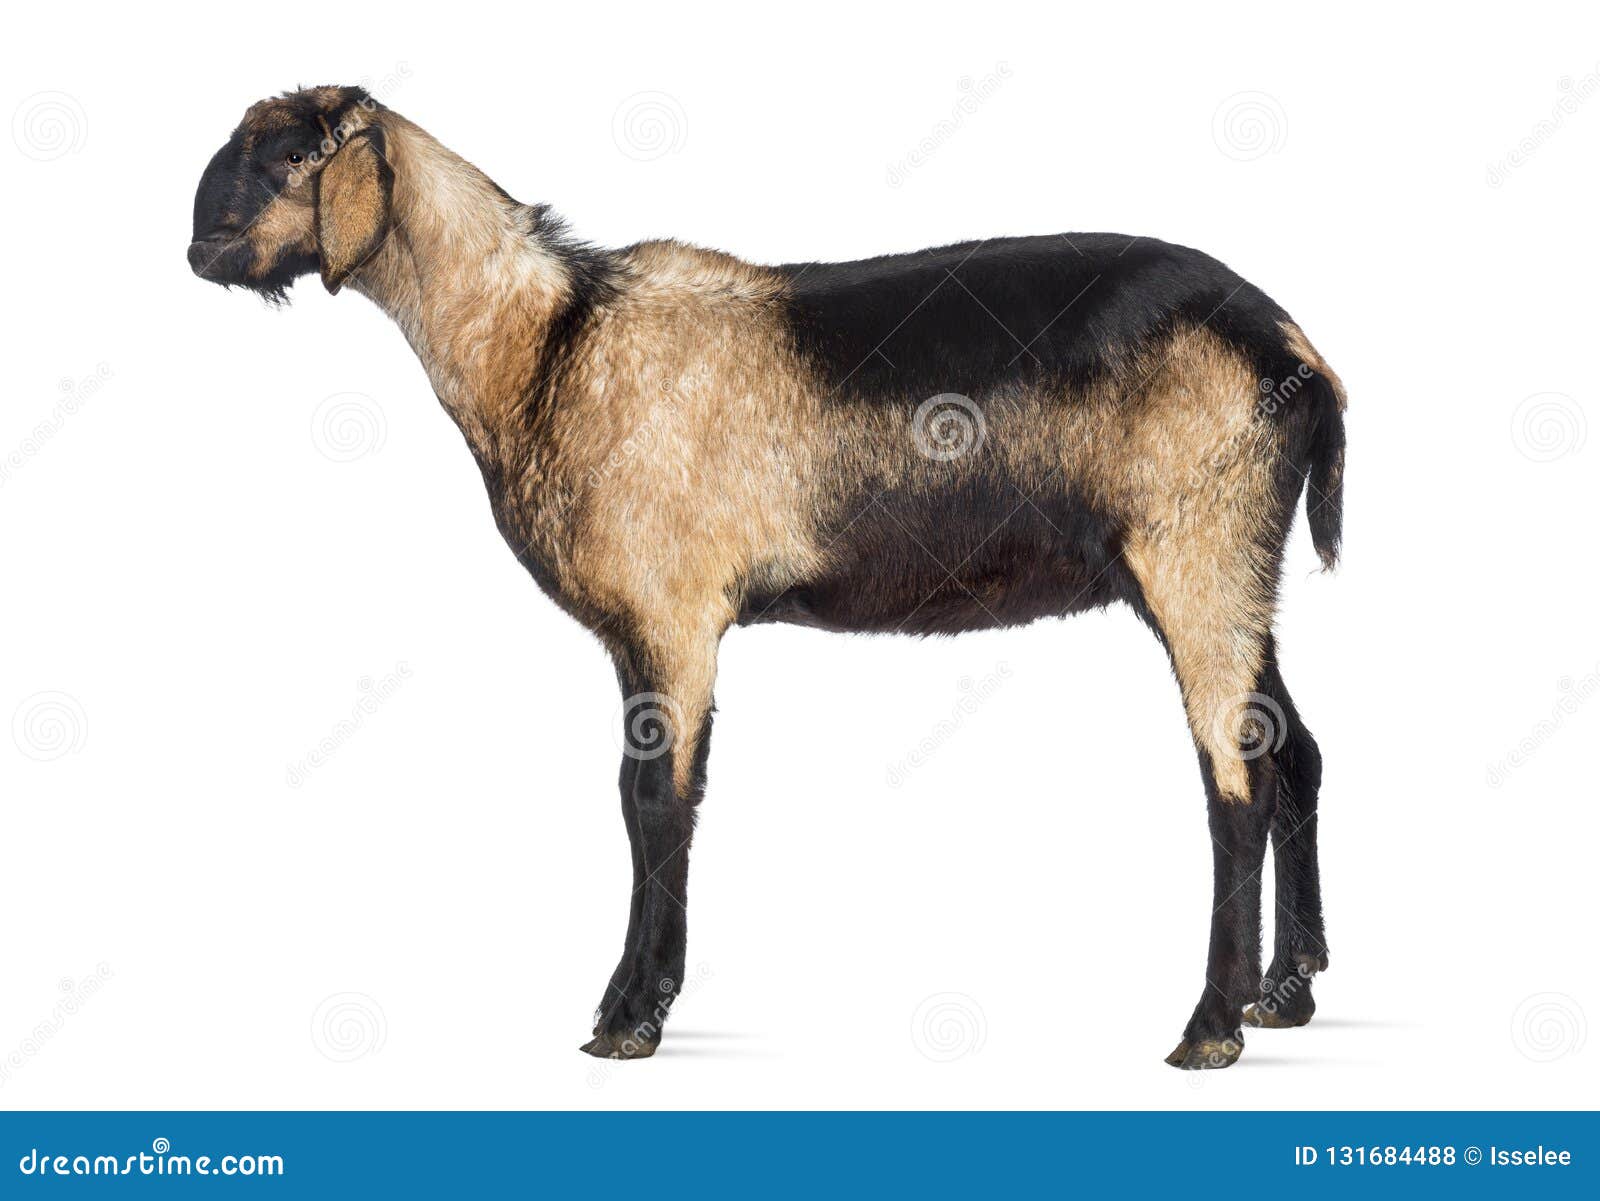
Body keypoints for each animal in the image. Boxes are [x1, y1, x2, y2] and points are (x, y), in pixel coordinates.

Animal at [187, 86, 1344, 1068]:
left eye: (290, 156)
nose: (198, 247)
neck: (549, 342)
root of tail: (1296, 352)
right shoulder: (646, 629)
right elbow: (644, 799)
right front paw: (629, 1003)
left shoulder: (674, 613)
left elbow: (655, 800)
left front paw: (630, 1017)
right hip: (1238, 569)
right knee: (1295, 751)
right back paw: (1284, 992)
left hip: (1197, 552)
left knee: (1235, 779)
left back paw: (1209, 1027)